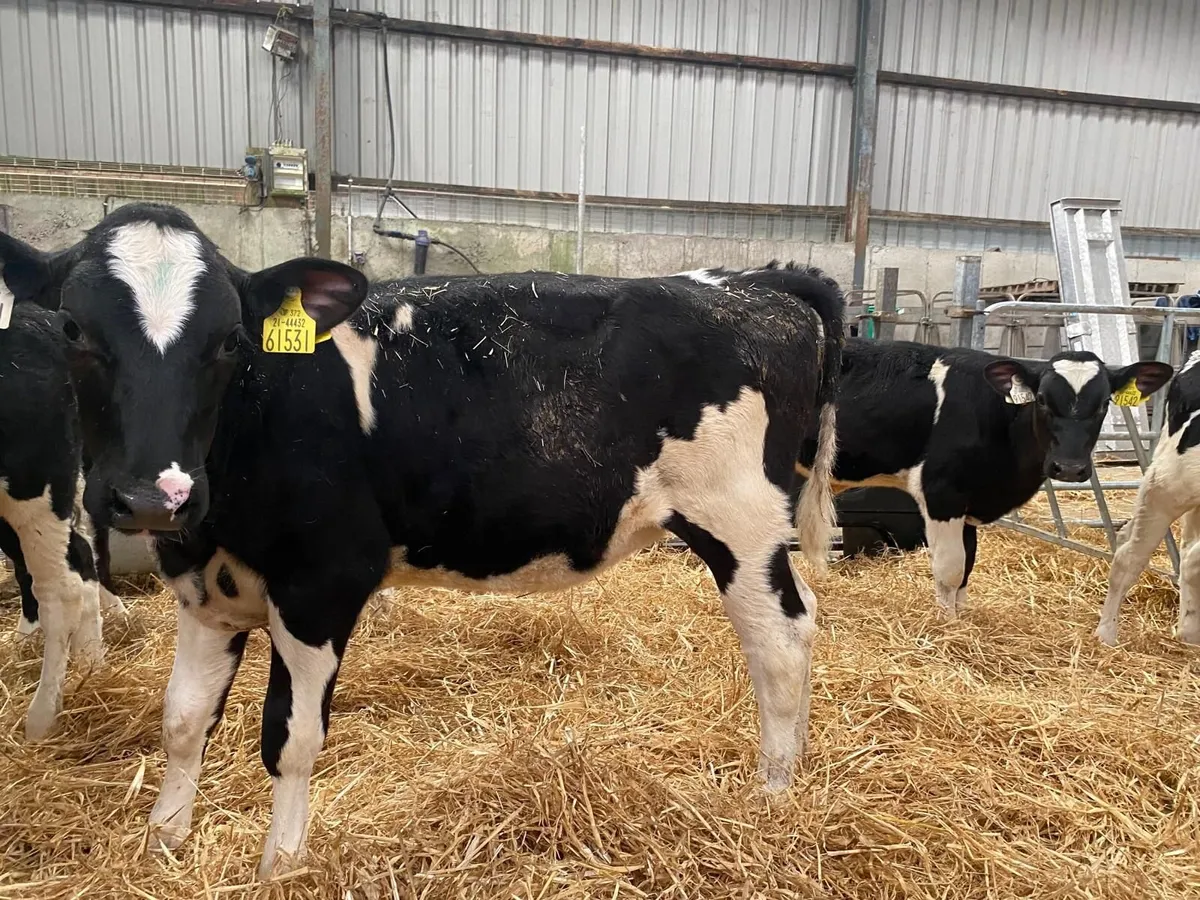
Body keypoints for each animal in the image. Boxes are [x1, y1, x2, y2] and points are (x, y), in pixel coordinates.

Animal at [794, 337, 1173, 616]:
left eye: (1104, 404)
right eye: (1041, 399)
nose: (1068, 468)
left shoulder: (970, 502)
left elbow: (968, 566)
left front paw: (961, 618)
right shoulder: (941, 493)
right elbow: (950, 569)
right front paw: (946, 627)